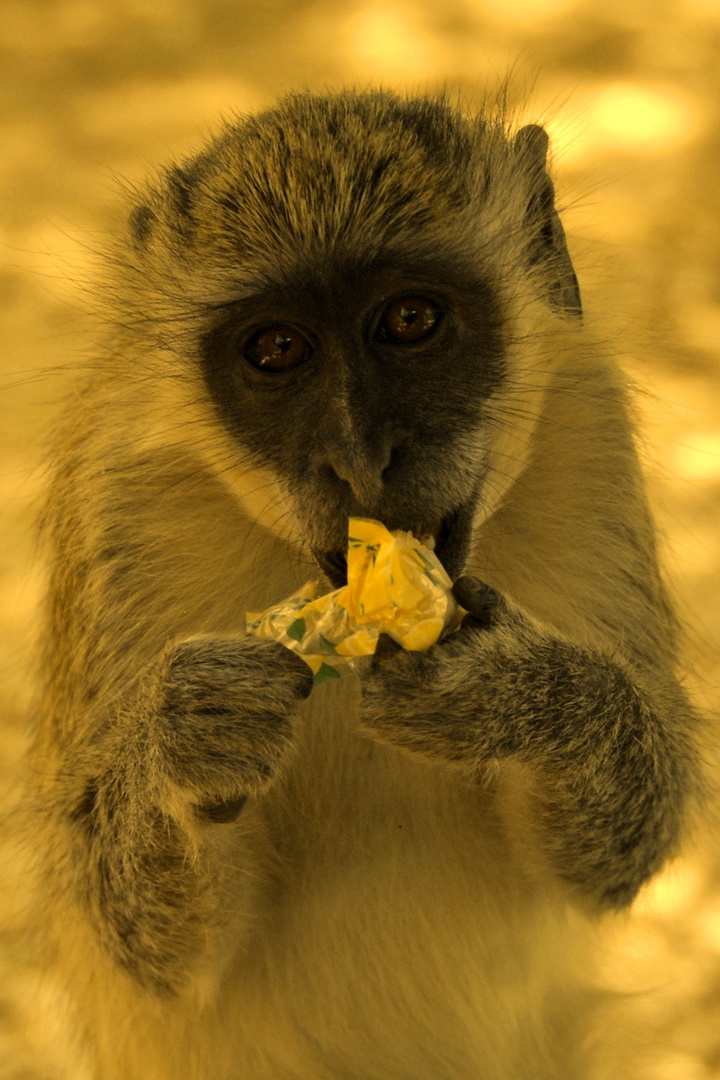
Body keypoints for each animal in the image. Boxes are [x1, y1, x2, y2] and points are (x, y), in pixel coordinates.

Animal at [25, 88, 699, 1075]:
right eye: (277, 348)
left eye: (410, 322)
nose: (359, 457)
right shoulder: (120, 509)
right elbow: (156, 951)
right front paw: (185, 741)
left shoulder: (590, 432)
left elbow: (608, 866)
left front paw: (522, 695)